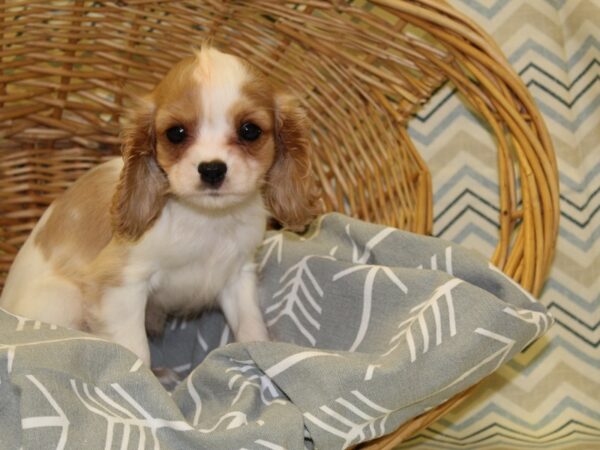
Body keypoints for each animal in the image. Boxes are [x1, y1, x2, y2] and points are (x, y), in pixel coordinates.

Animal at [0, 47, 316, 368]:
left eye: (249, 130)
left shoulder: (239, 276)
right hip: (63, 300)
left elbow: (250, 326)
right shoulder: (122, 285)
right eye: (176, 133)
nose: (212, 169)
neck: (206, 220)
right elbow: (136, 348)